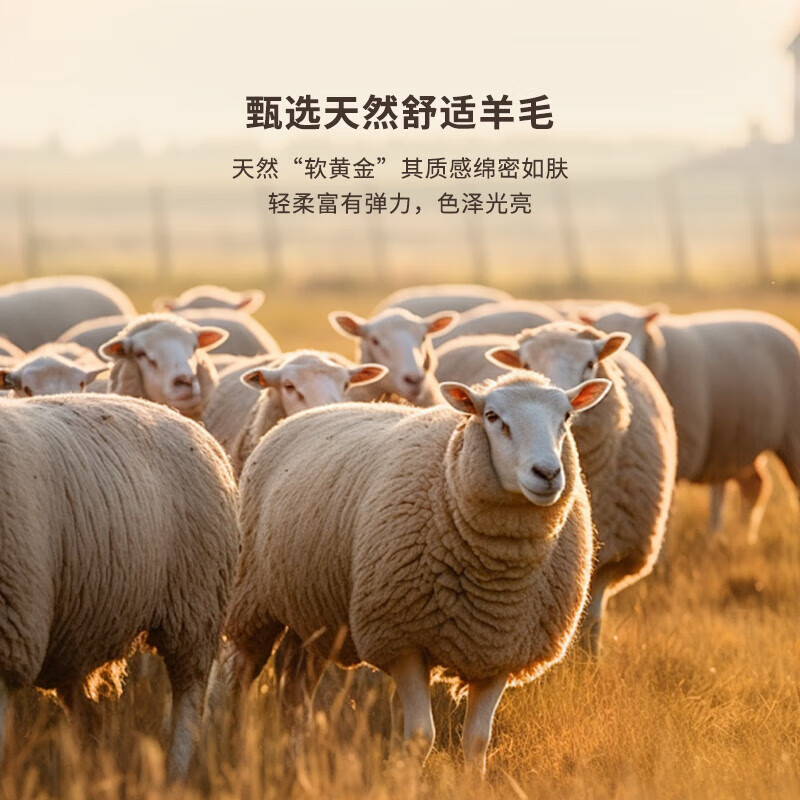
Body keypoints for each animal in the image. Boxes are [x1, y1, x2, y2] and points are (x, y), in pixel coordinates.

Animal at [0, 392, 239, 779]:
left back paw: (176, 774)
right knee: (87, 714)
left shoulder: (10, 639)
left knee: (189, 696)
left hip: (196, 607)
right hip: (84, 623)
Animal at [213, 371, 611, 773]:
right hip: (252, 599)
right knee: (237, 677)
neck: (496, 578)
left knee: (294, 690)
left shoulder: (501, 649)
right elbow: (421, 736)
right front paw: (405, 778)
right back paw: (231, 750)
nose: (547, 473)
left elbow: (477, 741)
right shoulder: (402, 638)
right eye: (493, 417)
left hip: (312, 615)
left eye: (566, 417)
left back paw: (297, 763)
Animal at [582, 303, 800, 540]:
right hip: (741, 442)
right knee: (756, 485)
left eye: (637, 333)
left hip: (790, 436)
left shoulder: (680, 453)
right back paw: (745, 536)